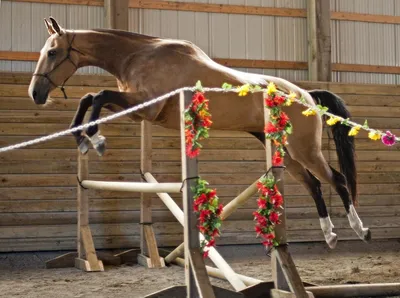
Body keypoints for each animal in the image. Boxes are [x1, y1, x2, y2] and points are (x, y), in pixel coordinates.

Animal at [28, 16, 372, 249]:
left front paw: (94, 139)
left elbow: (97, 96)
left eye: (53, 52)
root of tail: (308, 96)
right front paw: (81, 136)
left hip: (304, 148)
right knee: (314, 184)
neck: (138, 56)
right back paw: (329, 235)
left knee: (337, 179)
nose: (36, 93)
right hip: (283, 150)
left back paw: (359, 230)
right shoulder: (137, 108)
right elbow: (90, 98)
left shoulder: (146, 108)